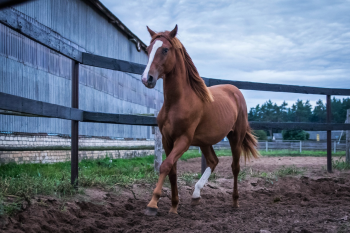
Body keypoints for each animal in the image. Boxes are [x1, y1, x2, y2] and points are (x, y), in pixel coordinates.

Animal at [141, 25, 258, 215]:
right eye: (148, 49)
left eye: (165, 49)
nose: (147, 79)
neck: (178, 101)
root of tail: (235, 91)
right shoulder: (167, 139)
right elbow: (172, 170)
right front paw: (174, 206)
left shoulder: (184, 140)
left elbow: (165, 165)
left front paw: (152, 204)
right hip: (205, 141)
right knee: (213, 161)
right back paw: (196, 195)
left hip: (236, 137)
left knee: (235, 167)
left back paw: (235, 202)